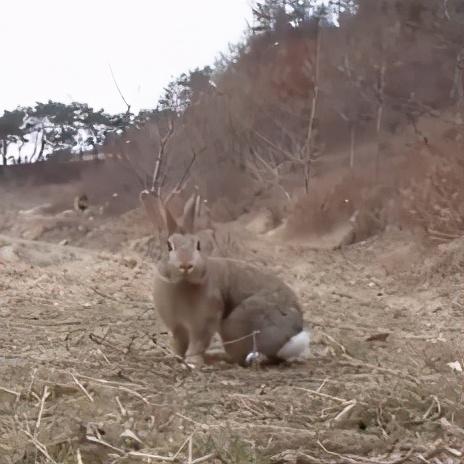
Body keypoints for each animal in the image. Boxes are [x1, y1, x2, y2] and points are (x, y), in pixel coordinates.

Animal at [140, 188, 310, 366]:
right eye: (169, 246)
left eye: (198, 245)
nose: (186, 265)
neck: (181, 283)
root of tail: (291, 337)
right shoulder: (177, 326)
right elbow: (179, 343)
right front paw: (175, 357)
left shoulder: (204, 322)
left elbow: (197, 342)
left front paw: (193, 361)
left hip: (236, 325)